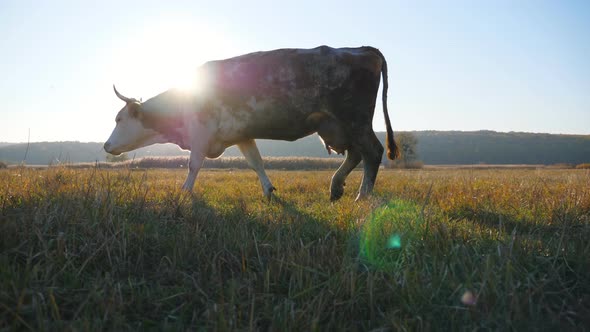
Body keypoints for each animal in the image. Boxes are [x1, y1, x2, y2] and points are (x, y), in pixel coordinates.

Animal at [106, 45, 402, 201]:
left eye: (119, 118)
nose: (107, 146)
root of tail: (362, 49)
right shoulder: (241, 135)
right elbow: (255, 162)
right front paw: (269, 190)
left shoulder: (201, 132)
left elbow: (193, 164)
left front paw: (185, 191)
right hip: (337, 125)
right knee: (356, 155)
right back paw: (336, 186)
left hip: (355, 120)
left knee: (372, 152)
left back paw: (362, 195)